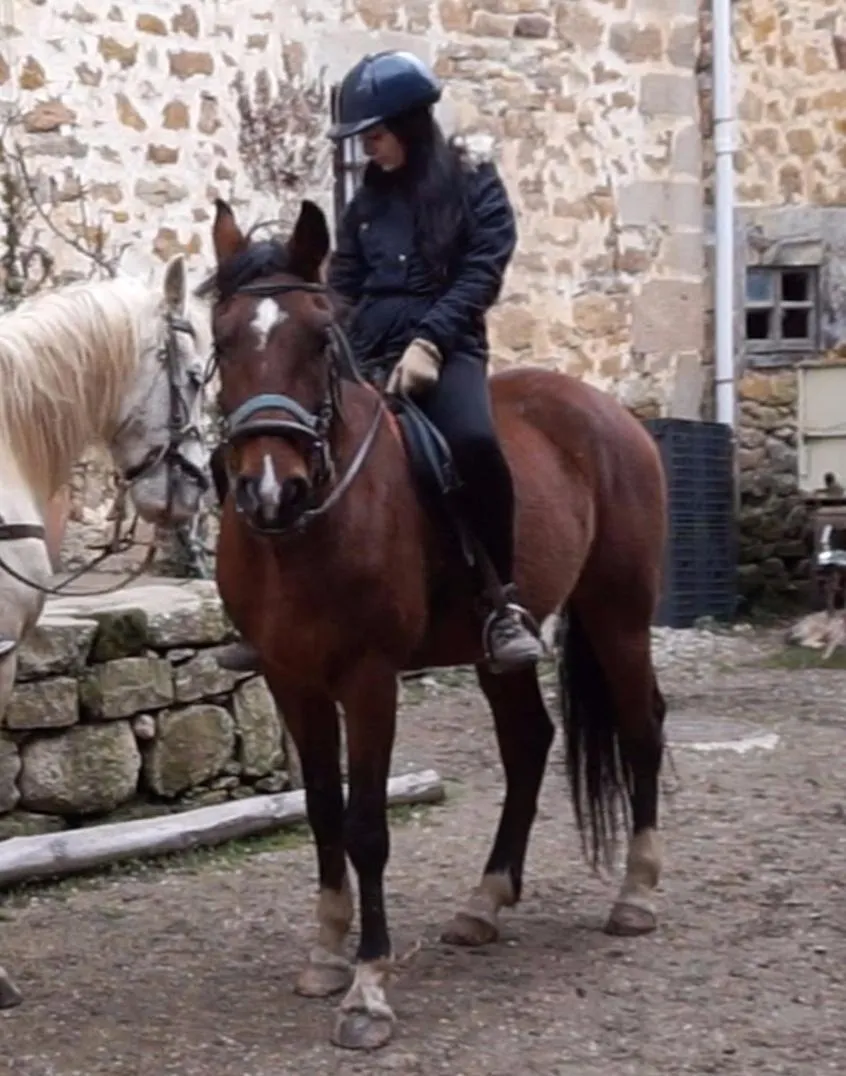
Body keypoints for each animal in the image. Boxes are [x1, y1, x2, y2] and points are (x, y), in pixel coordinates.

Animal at [207, 197, 668, 1051]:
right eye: (222, 340)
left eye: (319, 337)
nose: (269, 491)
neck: (308, 528)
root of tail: (609, 412)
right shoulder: (292, 679)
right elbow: (322, 811)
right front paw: (327, 955)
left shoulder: (369, 679)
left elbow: (366, 826)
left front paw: (369, 990)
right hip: (499, 652)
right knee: (529, 743)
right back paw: (484, 902)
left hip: (619, 613)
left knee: (641, 727)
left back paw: (637, 894)